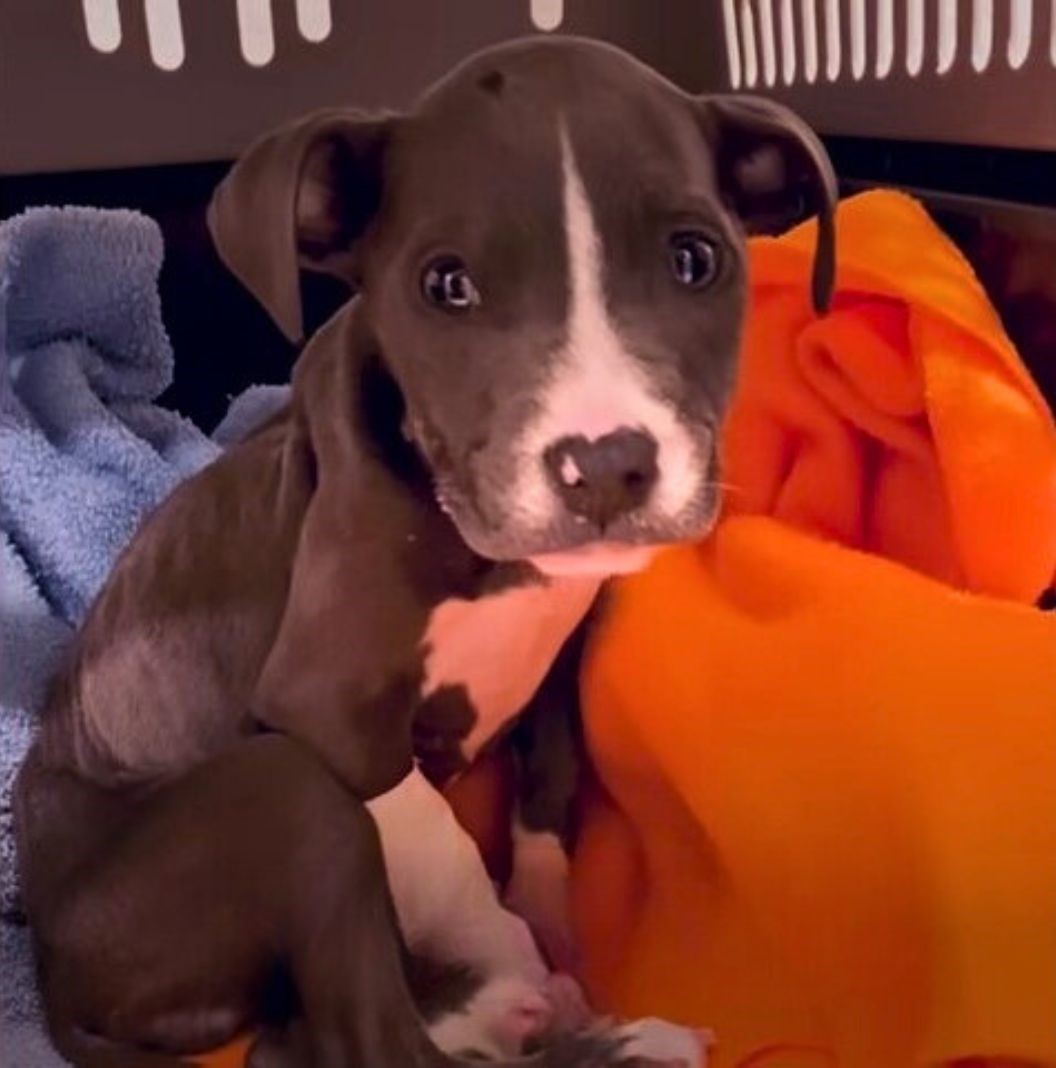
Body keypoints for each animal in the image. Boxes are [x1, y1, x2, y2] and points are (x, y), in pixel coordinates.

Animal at [10, 33, 832, 1068]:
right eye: (447, 285)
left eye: (694, 260)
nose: (605, 465)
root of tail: (51, 977)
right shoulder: (323, 707)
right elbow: (443, 845)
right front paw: (518, 958)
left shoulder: (561, 652)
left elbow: (548, 782)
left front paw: (553, 916)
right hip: (284, 794)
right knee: (364, 1036)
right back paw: (576, 1027)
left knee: (294, 1037)